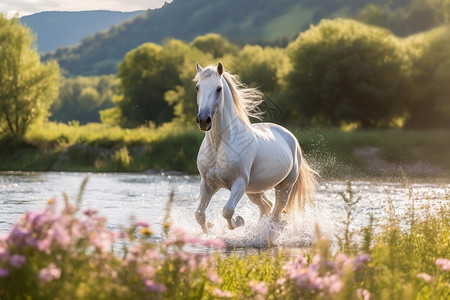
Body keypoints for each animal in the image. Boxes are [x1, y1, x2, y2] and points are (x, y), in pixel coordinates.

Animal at [193, 62, 316, 233]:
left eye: (219, 88)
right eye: (198, 87)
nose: (204, 120)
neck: (219, 146)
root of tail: (292, 138)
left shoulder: (239, 183)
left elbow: (227, 211)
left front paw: (239, 221)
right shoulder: (208, 184)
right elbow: (199, 214)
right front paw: (209, 229)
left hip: (284, 187)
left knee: (276, 212)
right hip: (255, 191)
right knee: (266, 207)